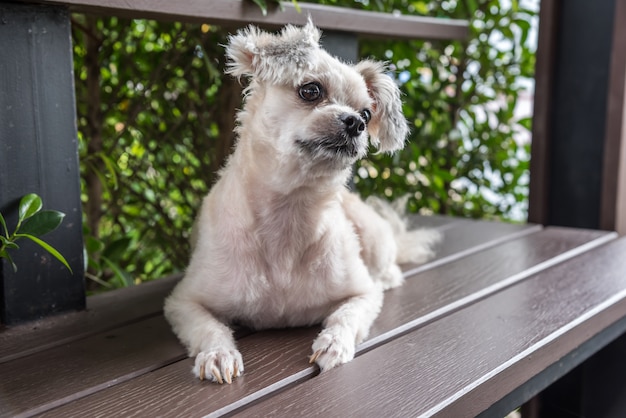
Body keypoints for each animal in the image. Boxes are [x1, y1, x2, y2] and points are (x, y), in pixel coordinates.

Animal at [165, 21, 438, 384]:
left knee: (390, 270)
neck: (290, 211)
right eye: (311, 90)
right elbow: (208, 328)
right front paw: (218, 354)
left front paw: (334, 343)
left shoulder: (363, 294)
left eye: (367, 113)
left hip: (375, 237)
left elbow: (347, 316)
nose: (356, 122)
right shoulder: (183, 302)